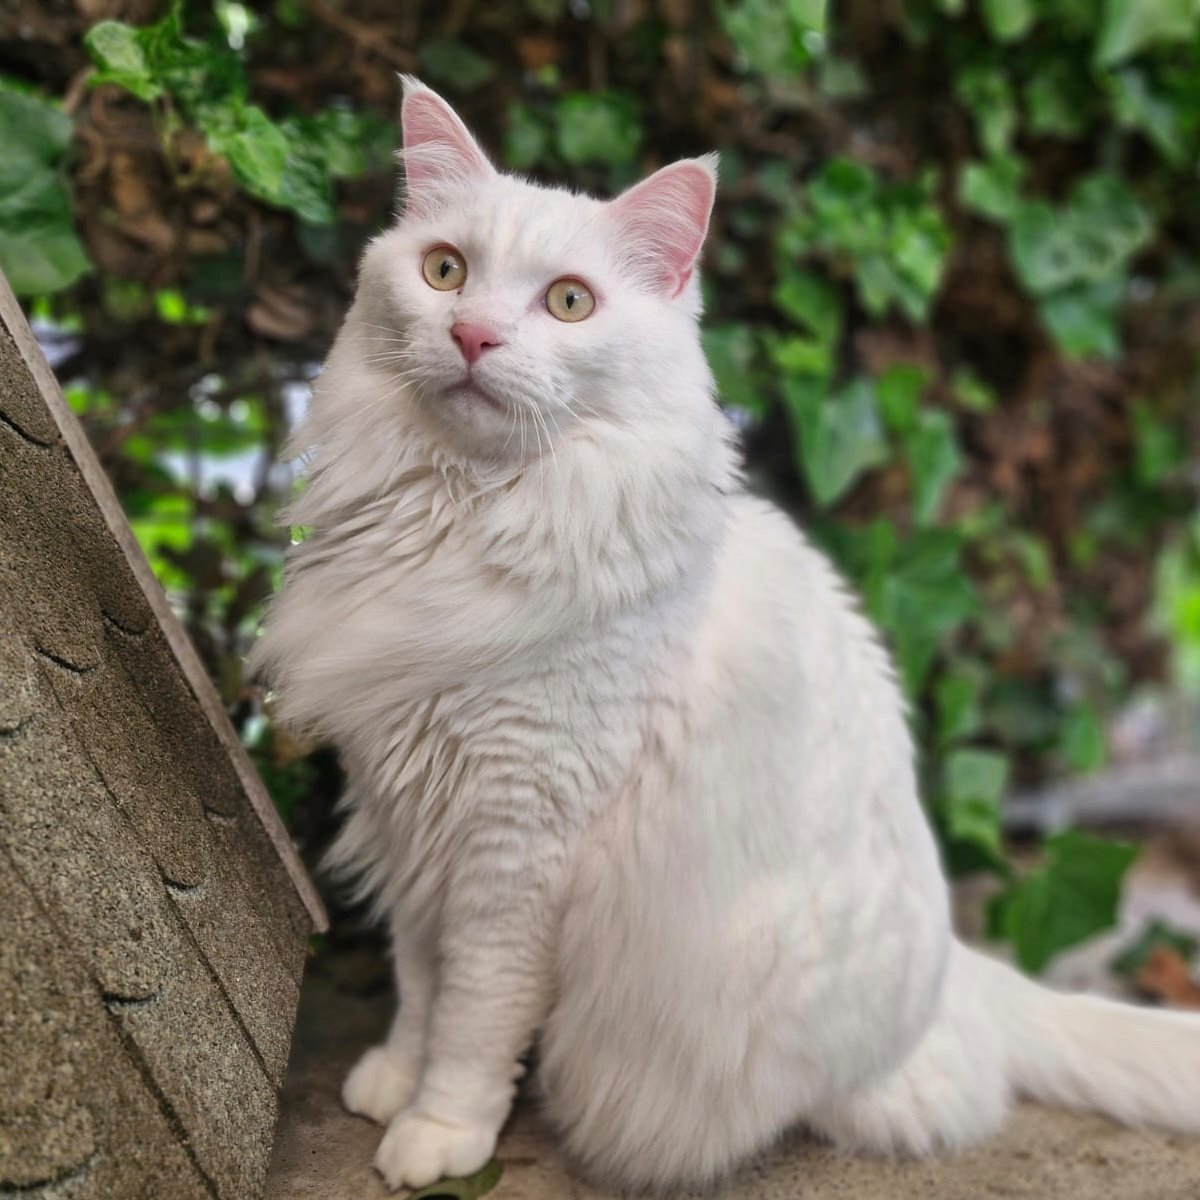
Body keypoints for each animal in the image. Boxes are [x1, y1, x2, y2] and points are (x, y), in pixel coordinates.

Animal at [248, 79, 1195, 1195]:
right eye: (445, 272)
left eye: (569, 303)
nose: (474, 335)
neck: (459, 515)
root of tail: (958, 974)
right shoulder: (412, 820)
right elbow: (419, 982)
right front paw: (393, 1079)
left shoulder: (515, 849)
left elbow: (474, 1019)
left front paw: (439, 1133)